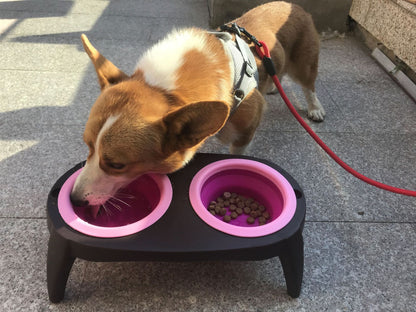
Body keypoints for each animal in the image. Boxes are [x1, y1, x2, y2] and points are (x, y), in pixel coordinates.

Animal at [70, 2, 324, 208]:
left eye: (116, 165)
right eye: (88, 146)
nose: (74, 200)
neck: (165, 89)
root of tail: (293, 4)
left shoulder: (247, 127)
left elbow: (238, 152)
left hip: (304, 65)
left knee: (309, 85)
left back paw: (315, 109)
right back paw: (271, 86)